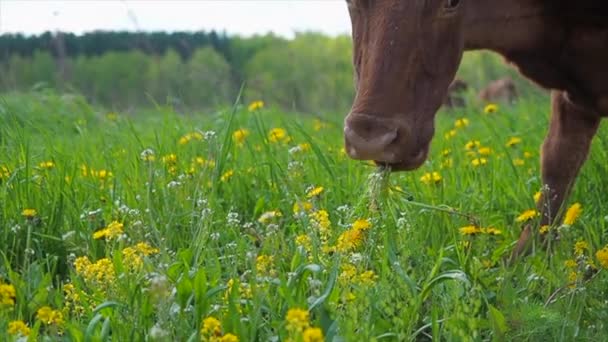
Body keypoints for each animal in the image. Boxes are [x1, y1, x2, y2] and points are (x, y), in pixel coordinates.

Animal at [342, 0, 608, 256]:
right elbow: (558, 163)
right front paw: (524, 258)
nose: (370, 140)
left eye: (452, 2)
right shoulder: (572, 98)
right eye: (351, 1)